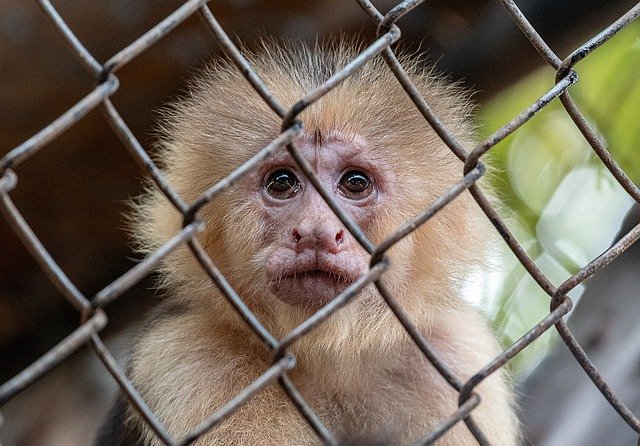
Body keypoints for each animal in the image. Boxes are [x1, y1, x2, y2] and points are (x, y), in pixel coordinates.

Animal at [96, 40, 520, 444]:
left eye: (355, 183)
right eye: (282, 182)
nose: (317, 232)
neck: (327, 356)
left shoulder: (457, 351)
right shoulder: (193, 358)